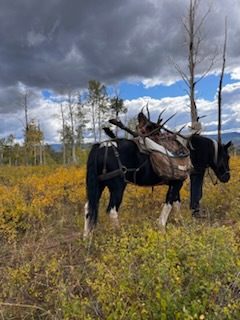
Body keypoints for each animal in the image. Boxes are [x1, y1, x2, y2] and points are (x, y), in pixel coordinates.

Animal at [83, 130, 232, 238]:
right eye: (227, 156)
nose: (227, 177)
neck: (189, 152)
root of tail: (101, 147)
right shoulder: (177, 183)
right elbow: (169, 203)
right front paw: (162, 228)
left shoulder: (175, 184)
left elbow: (176, 203)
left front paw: (180, 222)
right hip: (118, 188)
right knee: (112, 211)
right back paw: (121, 235)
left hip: (98, 186)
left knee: (89, 208)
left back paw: (87, 238)